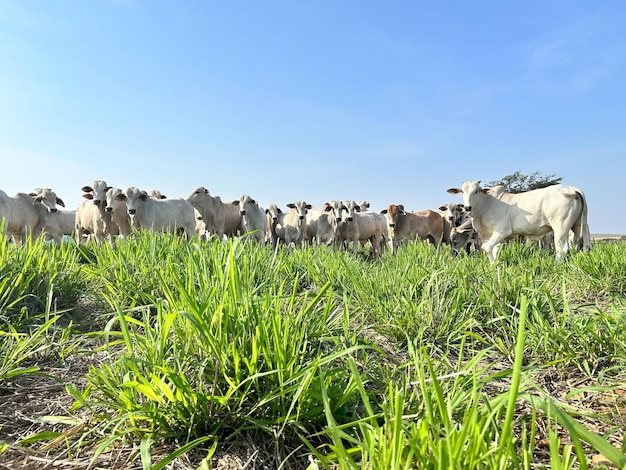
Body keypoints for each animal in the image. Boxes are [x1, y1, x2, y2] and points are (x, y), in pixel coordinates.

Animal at [446, 180, 588, 262]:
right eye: (462, 191)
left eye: (476, 191)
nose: (467, 207)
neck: (486, 204)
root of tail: (573, 189)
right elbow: (493, 250)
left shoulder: (502, 231)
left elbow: (486, 248)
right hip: (579, 225)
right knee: (585, 246)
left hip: (560, 228)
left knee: (562, 249)